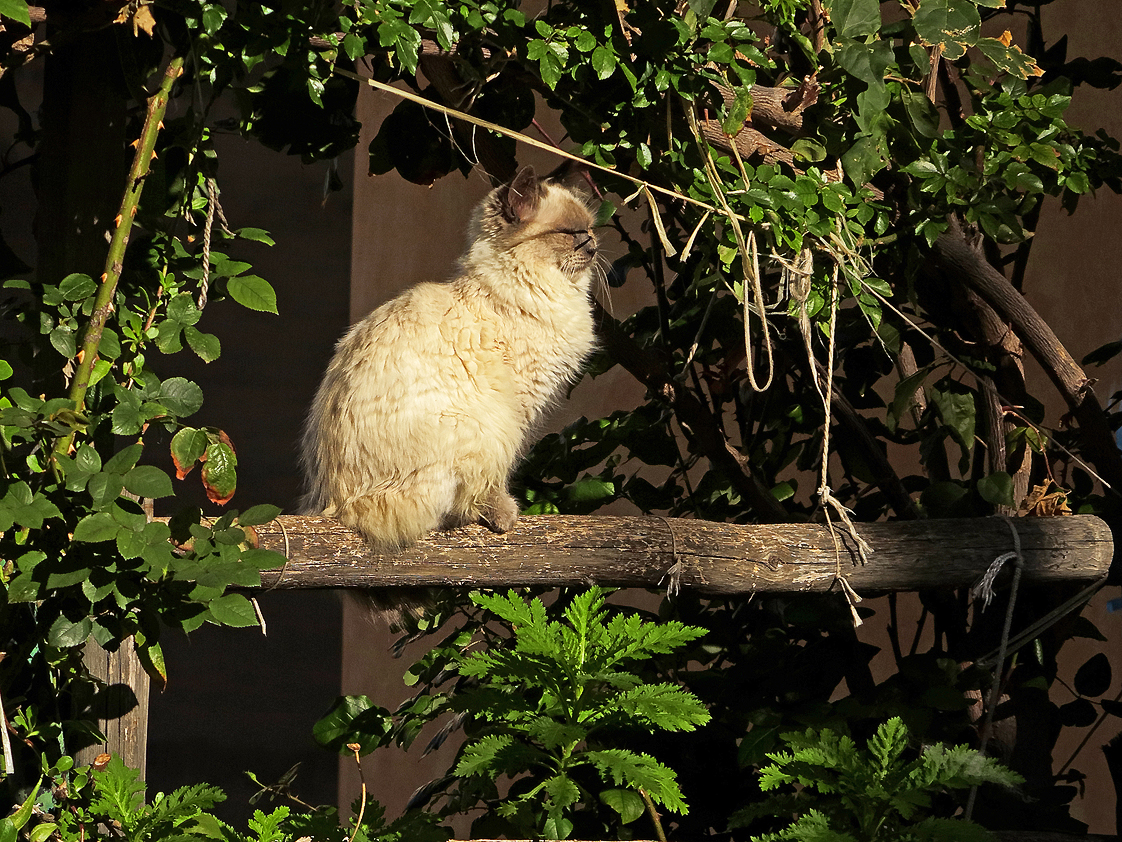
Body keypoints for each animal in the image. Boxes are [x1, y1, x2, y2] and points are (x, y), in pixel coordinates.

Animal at [298, 166, 596, 628]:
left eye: (590, 230)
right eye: (570, 234)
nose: (595, 246)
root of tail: (334, 506)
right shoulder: (516, 413)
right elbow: (495, 482)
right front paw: (505, 512)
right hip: (477, 429)